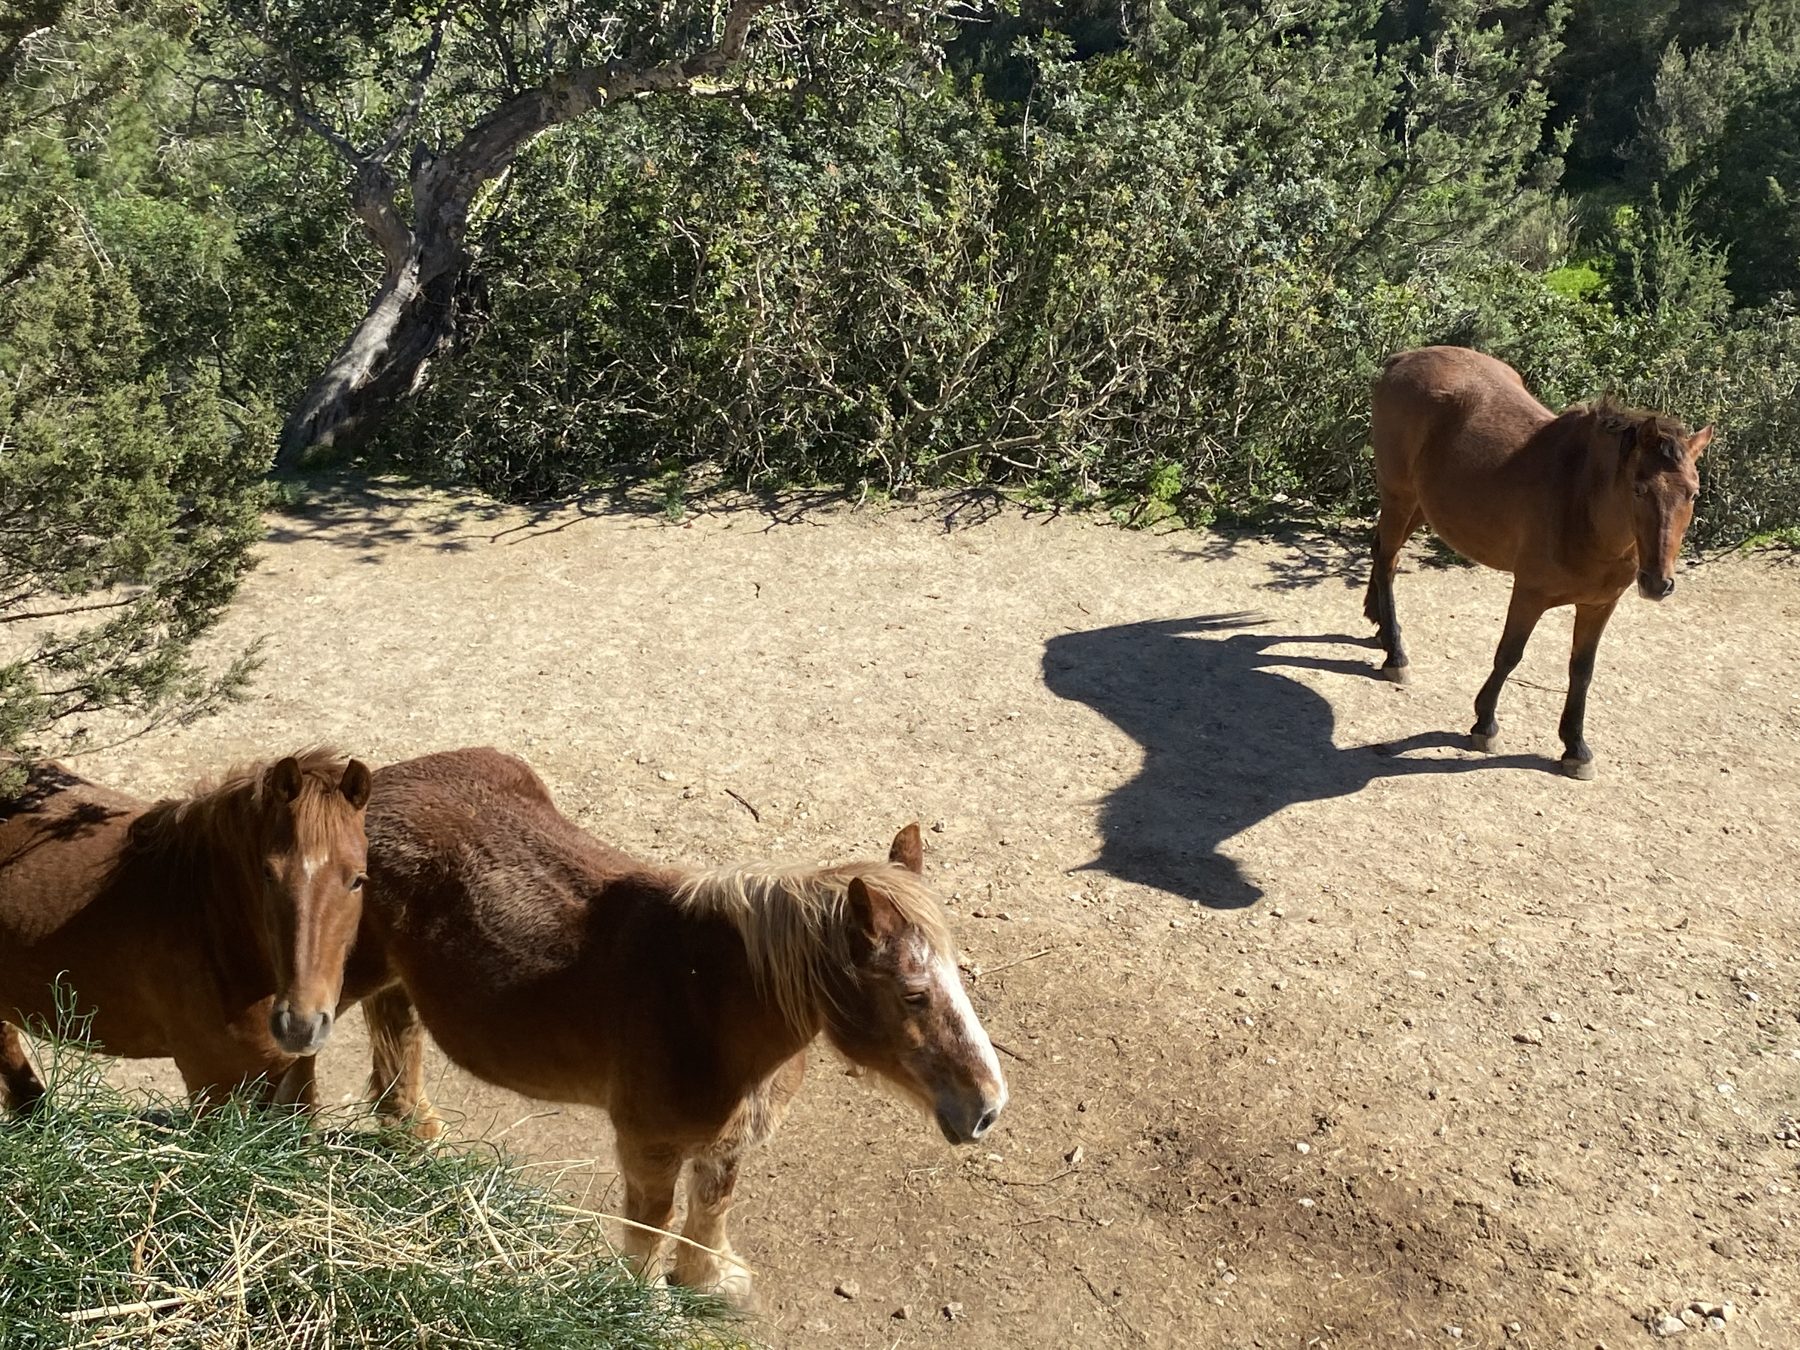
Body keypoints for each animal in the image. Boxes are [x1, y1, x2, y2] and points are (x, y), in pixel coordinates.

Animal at [354, 746, 1008, 1308]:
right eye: (914, 994)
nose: (988, 1107)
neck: (706, 1010)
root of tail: (370, 786)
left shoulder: (728, 1142)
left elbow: (710, 1211)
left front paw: (710, 1283)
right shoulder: (650, 1146)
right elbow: (654, 1223)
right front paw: (644, 1304)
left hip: (396, 985)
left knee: (398, 1041)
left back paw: (415, 1138)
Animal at [1365, 346, 1711, 779]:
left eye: (1693, 493)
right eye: (1639, 489)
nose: (1657, 583)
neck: (1580, 503)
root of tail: (1403, 358)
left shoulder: (1599, 605)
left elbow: (1582, 671)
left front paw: (1575, 747)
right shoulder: (1529, 593)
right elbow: (1509, 654)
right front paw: (1485, 724)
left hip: (1422, 506)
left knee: (1381, 552)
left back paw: (1379, 626)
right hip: (1400, 495)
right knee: (1387, 562)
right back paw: (1395, 654)